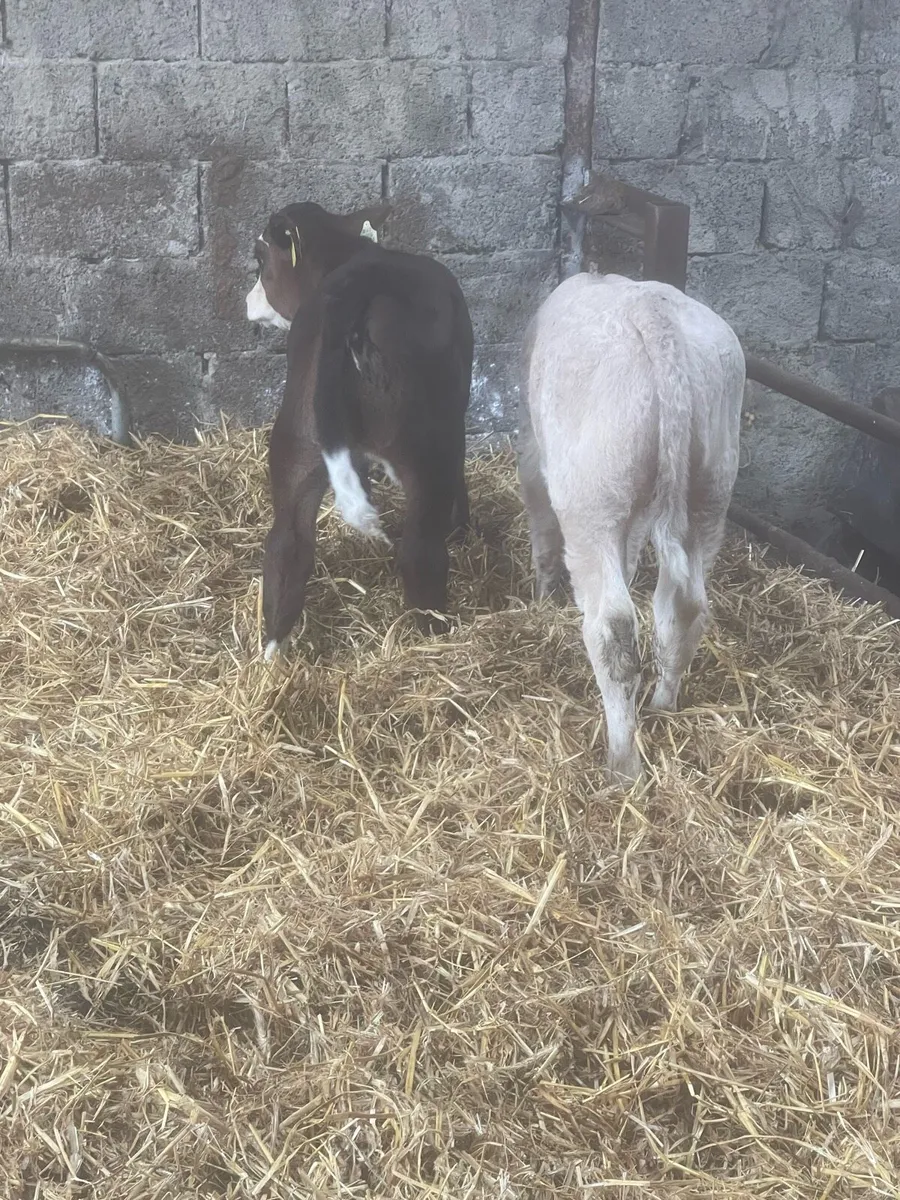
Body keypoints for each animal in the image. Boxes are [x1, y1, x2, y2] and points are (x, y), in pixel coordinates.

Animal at [246, 201, 474, 659]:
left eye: (260, 260)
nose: (247, 301)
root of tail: (355, 290)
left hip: (295, 445)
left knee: (286, 548)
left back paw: (271, 659)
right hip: (430, 451)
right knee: (421, 553)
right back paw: (434, 640)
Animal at [518, 273, 745, 785]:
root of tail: (651, 309)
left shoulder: (536, 455)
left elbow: (541, 527)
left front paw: (541, 595)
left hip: (592, 502)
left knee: (613, 628)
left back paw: (622, 765)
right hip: (711, 492)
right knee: (684, 606)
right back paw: (663, 706)